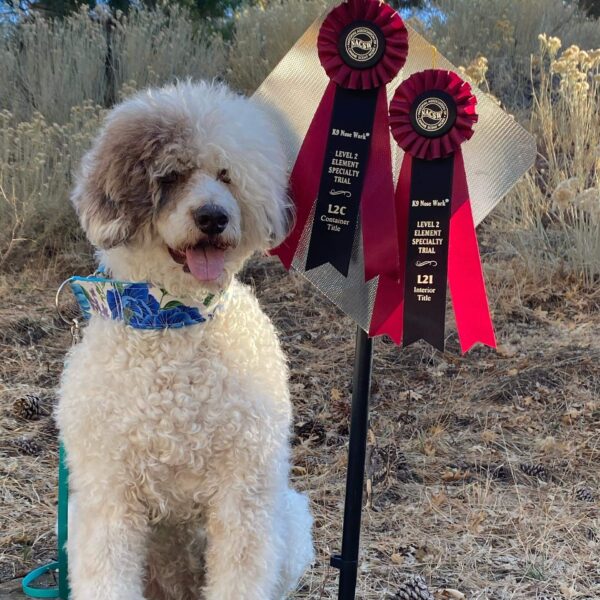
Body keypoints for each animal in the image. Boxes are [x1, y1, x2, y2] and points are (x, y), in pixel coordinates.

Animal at [57, 81, 314, 600]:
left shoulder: (244, 491)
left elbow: (240, 576)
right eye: (171, 175)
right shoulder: (107, 494)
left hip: (290, 518)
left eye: (226, 174)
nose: (214, 217)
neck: (174, 322)